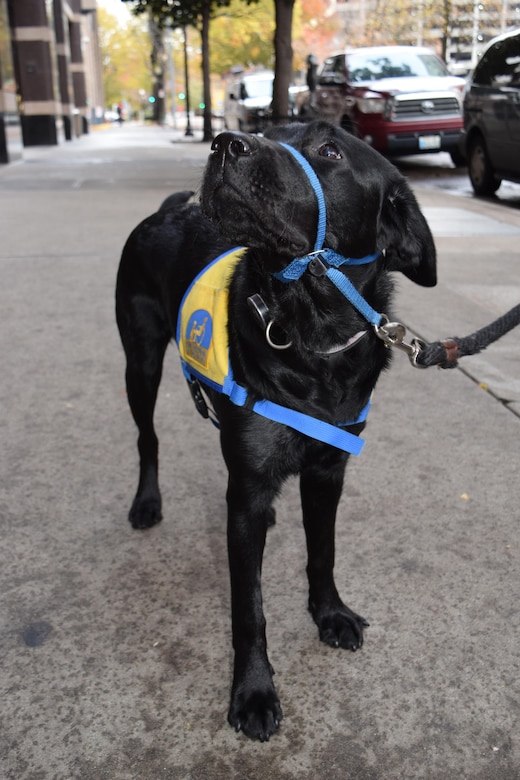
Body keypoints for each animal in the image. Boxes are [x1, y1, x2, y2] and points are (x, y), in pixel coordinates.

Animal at [116, 119, 436, 740]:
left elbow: (323, 552)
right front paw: (254, 692)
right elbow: (250, 608)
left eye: (331, 150)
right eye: (268, 128)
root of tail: (167, 210)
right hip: (139, 360)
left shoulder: (328, 473)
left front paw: (330, 614)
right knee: (147, 438)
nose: (223, 142)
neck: (310, 329)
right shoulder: (246, 491)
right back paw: (146, 502)